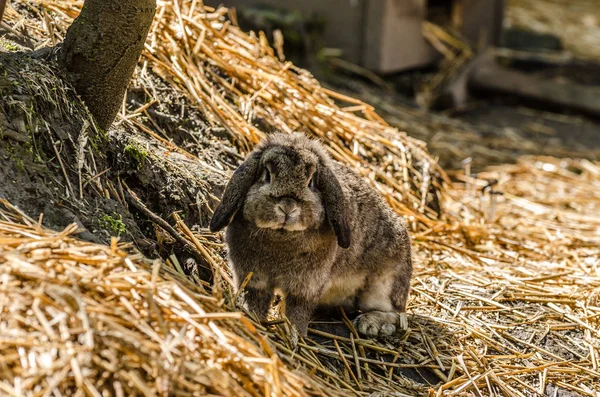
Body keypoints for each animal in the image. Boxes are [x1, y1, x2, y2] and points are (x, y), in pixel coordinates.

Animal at [211, 132, 412, 338]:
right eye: (267, 175)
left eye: (311, 183)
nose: (287, 206)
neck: (281, 236)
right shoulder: (252, 278)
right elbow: (254, 300)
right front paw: (251, 318)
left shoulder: (306, 286)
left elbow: (297, 310)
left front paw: (294, 335)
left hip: (384, 284)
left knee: (397, 316)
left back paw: (370, 324)